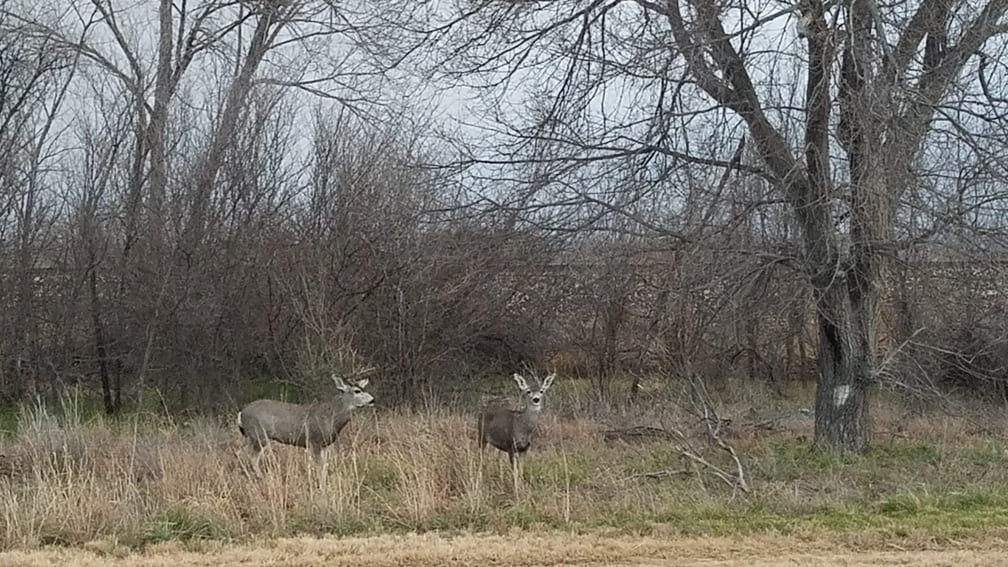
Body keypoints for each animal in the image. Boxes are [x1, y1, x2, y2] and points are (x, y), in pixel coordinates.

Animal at [237, 373, 374, 478]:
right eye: (357, 391)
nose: (372, 400)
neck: (331, 418)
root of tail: (242, 413)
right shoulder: (314, 441)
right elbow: (320, 466)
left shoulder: (325, 445)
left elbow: (325, 465)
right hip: (259, 435)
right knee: (251, 455)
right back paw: (260, 476)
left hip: (252, 436)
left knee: (241, 452)